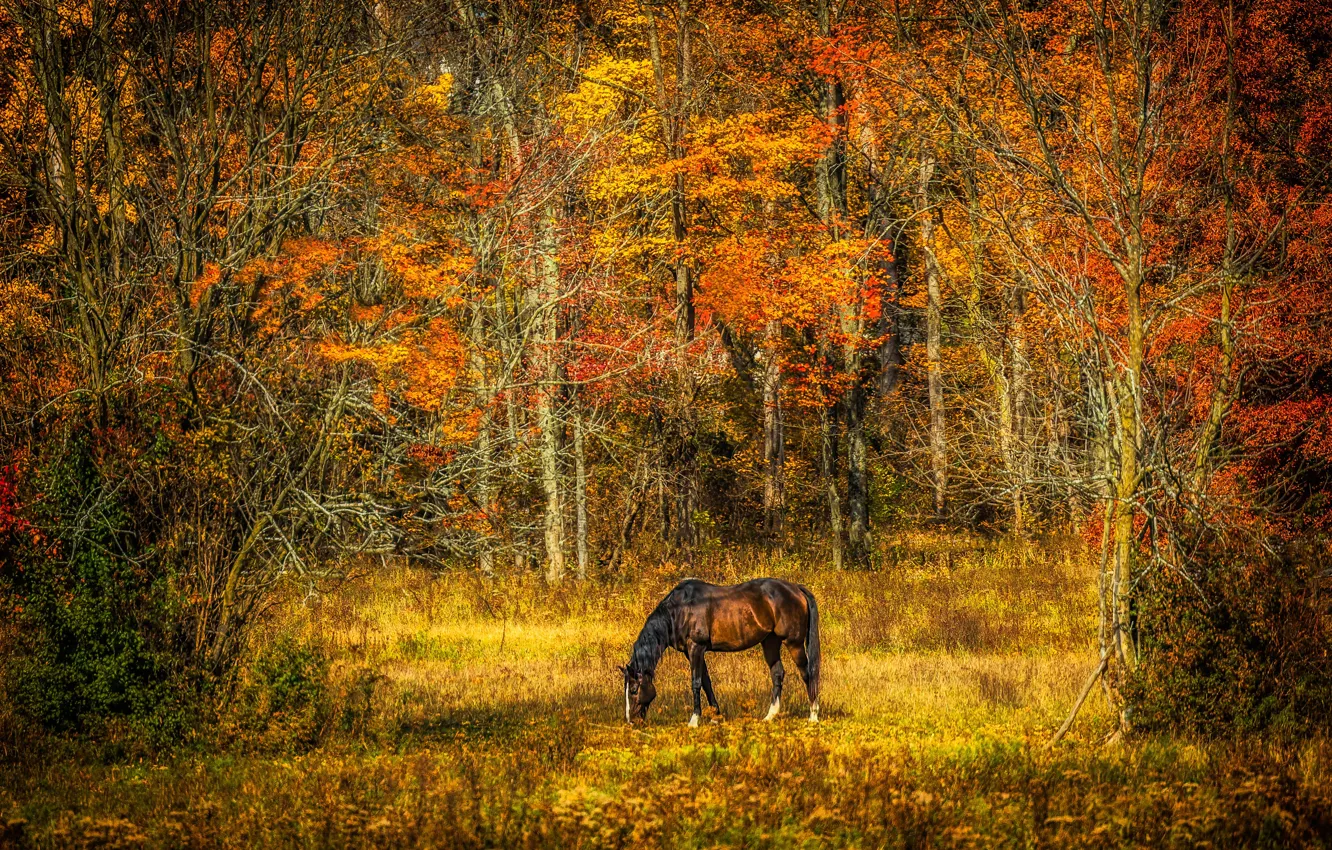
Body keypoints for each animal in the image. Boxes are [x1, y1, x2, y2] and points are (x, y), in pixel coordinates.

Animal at [621, 577, 821, 727]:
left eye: (633, 690)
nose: (631, 721)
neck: (679, 611)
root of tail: (795, 588)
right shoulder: (692, 652)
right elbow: (706, 682)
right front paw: (716, 717)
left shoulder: (696, 647)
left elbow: (696, 683)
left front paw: (694, 720)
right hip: (770, 642)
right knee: (777, 673)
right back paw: (770, 716)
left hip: (794, 643)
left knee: (807, 673)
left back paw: (813, 715)